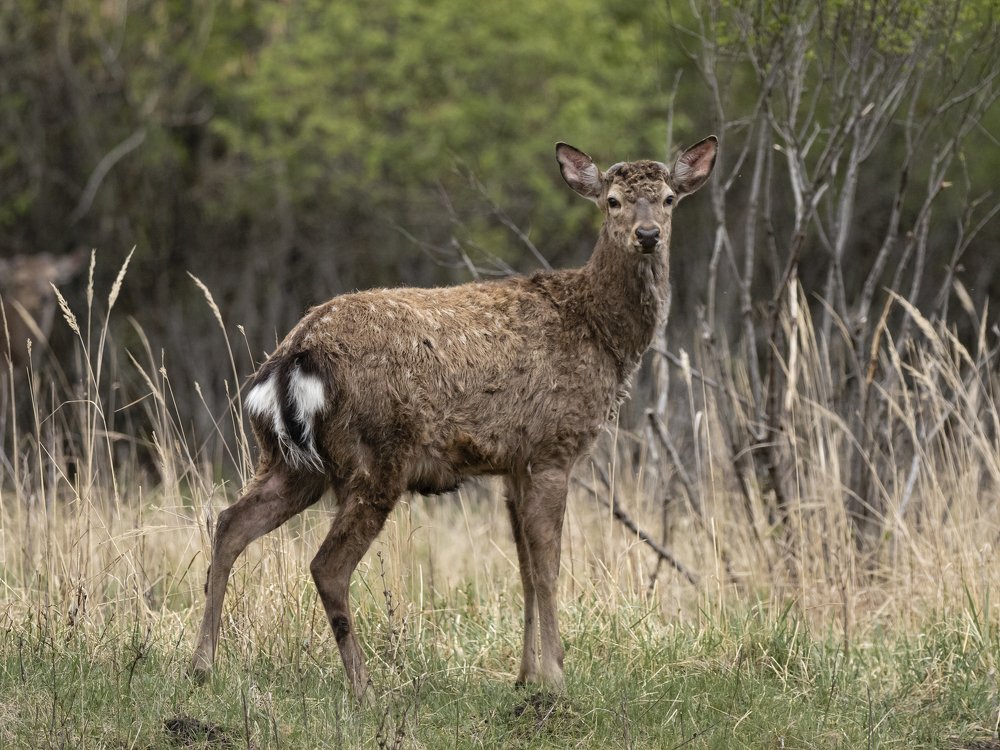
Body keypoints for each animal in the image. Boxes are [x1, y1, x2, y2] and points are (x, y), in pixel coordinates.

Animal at [191, 136, 717, 698]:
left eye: (668, 199)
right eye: (612, 201)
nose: (648, 235)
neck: (600, 333)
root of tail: (295, 356)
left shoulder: (512, 464)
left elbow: (524, 570)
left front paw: (525, 676)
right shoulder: (552, 448)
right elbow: (548, 568)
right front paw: (556, 676)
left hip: (290, 462)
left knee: (230, 524)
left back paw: (203, 664)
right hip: (375, 457)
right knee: (326, 566)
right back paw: (364, 687)